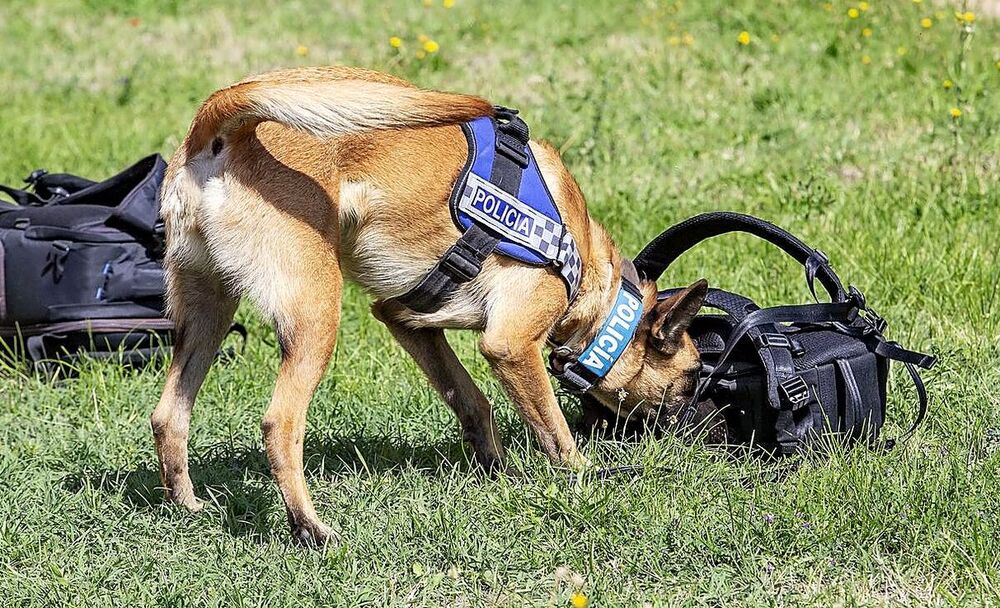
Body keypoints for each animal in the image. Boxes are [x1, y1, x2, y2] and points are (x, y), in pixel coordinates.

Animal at [152, 66, 708, 548]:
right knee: (279, 425)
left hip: (207, 314)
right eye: (691, 377)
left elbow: (472, 400)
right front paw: (586, 475)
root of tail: (220, 125)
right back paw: (311, 527)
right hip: (315, 317)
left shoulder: (406, 320)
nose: (703, 430)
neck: (586, 267)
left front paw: (497, 471)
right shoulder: (510, 346)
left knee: (168, 415)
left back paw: (188, 506)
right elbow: (554, 429)